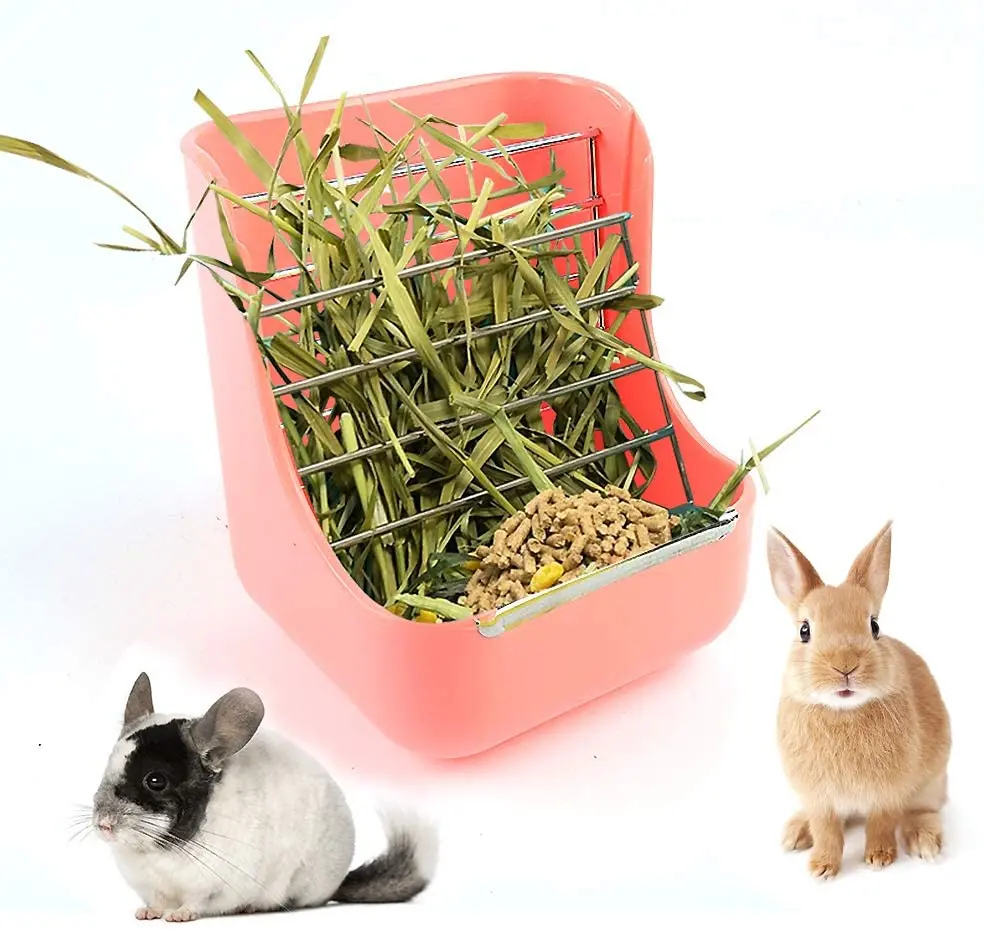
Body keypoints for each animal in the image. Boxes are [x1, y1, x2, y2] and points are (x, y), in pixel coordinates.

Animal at [89, 673, 437, 921]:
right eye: (106, 765)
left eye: (156, 781)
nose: (102, 825)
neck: (160, 851)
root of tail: (338, 882)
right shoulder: (154, 887)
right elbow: (158, 901)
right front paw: (147, 914)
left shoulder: (211, 887)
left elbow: (196, 902)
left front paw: (179, 916)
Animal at [766, 520, 950, 880]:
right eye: (805, 631)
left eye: (874, 626)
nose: (845, 665)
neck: (842, 711)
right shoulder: (819, 799)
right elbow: (827, 830)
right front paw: (821, 867)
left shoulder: (888, 794)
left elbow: (881, 824)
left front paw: (879, 858)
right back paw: (796, 833)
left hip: (930, 782)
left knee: (921, 810)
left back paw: (923, 841)